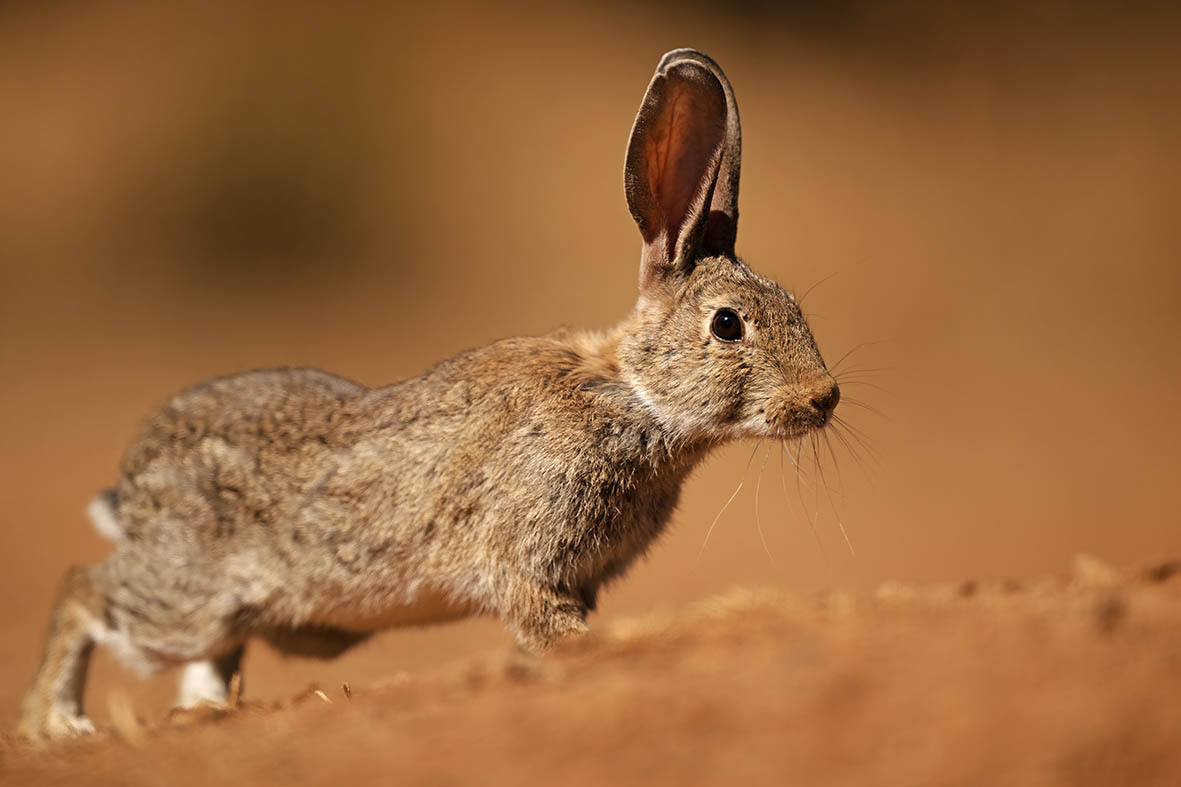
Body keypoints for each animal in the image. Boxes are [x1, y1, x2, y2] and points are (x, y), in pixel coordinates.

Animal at [19, 48, 840, 741]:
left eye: (794, 308)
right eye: (728, 324)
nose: (823, 397)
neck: (631, 395)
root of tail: (132, 481)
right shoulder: (525, 557)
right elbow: (550, 625)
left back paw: (203, 712)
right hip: (184, 596)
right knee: (86, 590)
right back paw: (57, 724)